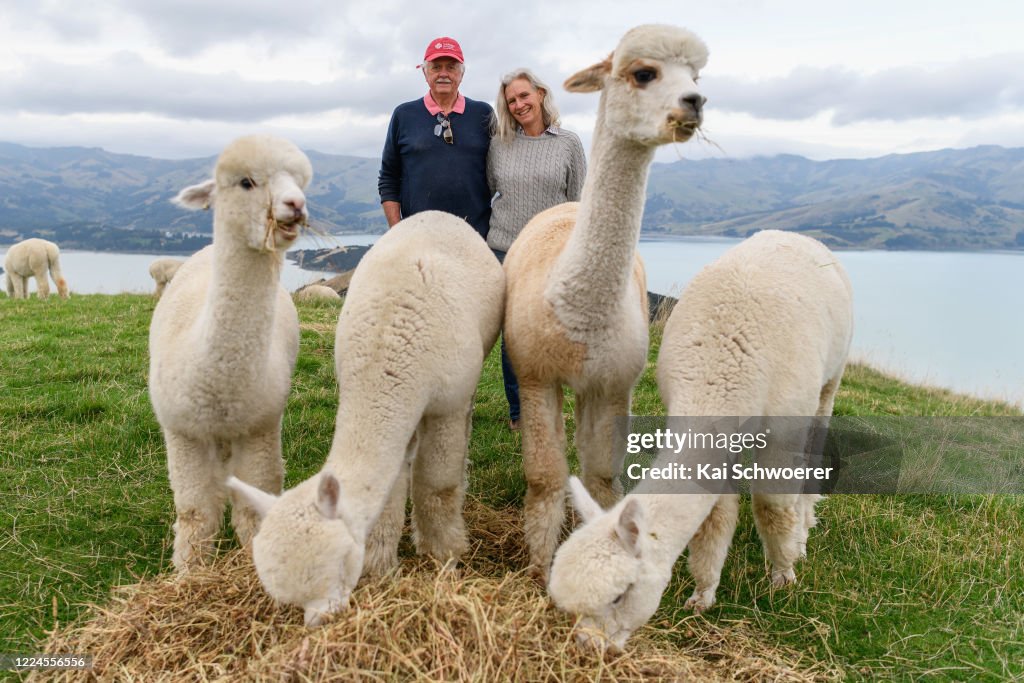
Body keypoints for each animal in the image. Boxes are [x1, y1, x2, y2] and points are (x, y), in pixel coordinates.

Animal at [147, 133, 307, 573]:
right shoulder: (181, 432)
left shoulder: (259, 428)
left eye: (301, 181)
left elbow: (252, 508)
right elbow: (195, 512)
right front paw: (189, 572)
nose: (296, 204)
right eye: (247, 182)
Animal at [230, 210, 505, 626]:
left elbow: (437, 486)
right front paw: (381, 566)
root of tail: (438, 214)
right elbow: (389, 493)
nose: (319, 621)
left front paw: (445, 555)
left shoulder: (448, 403)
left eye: (333, 568)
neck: (388, 352)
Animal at [499, 26, 708, 581]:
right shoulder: (536, 373)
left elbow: (600, 475)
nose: (695, 102)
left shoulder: (615, 384)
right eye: (643, 73)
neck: (582, 314)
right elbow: (546, 475)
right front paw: (538, 562)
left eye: (696, 77)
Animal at [548, 229, 851, 651]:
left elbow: (772, 508)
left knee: (814, 444)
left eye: (620, 595)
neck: (721, 374)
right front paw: (703, 595)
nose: (588, 646)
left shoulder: (782, 426)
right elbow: (715, 519)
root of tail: (794, 234)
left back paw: (805, 530)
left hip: (828, 379)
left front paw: (784, 575)